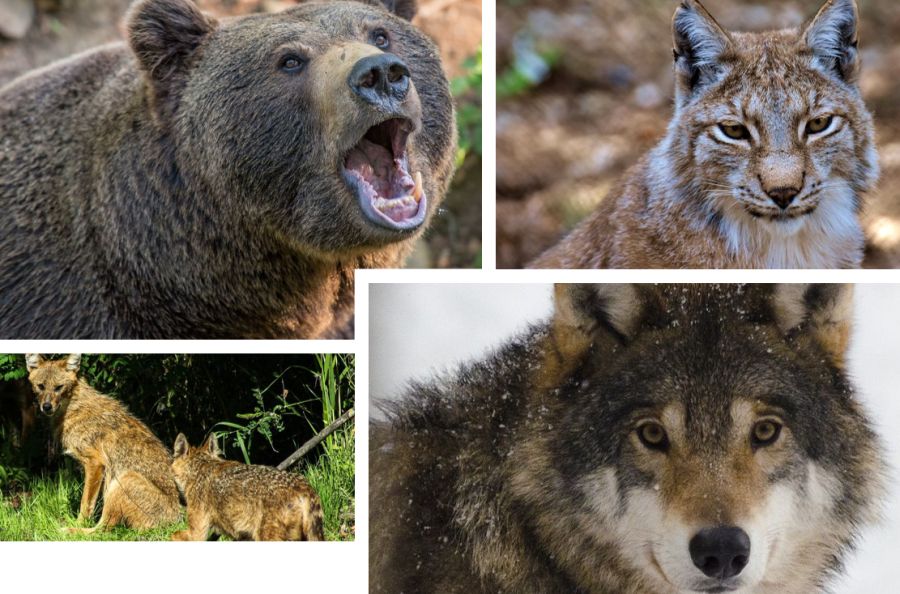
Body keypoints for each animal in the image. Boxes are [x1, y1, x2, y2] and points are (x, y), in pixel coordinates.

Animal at [25, 352, 181, 532]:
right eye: (41, 386)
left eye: (58, 387)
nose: (47, 406)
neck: (72, 408)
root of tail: (176, 520)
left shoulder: (95, 463)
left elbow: (86, 504)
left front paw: (77, 524)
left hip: (123, 479)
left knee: (101, 529)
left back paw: (66, 530)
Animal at [169, 430, 324, 540]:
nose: (178, 500)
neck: (200, 469)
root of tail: (303, 488)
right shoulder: (242, 536)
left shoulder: (197, 533)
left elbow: (173, 535)